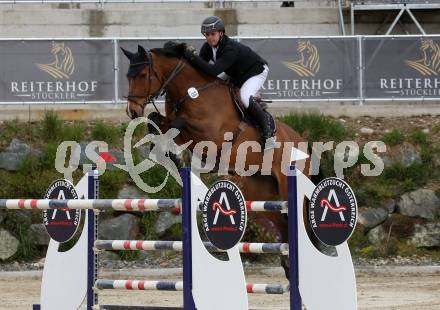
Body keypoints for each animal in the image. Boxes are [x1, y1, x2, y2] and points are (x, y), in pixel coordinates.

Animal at [122, 42, 312, 278]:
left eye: (142, 75)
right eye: (128, 76)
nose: (132, 111)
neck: (190, 93)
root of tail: (304, 144)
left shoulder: (209, 133)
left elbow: (179, 122)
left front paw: (174, 155)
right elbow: (154, 119)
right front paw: (166, 153)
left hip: (287, 186)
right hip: (261, 192)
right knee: (283, 225)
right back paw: (287, 267)